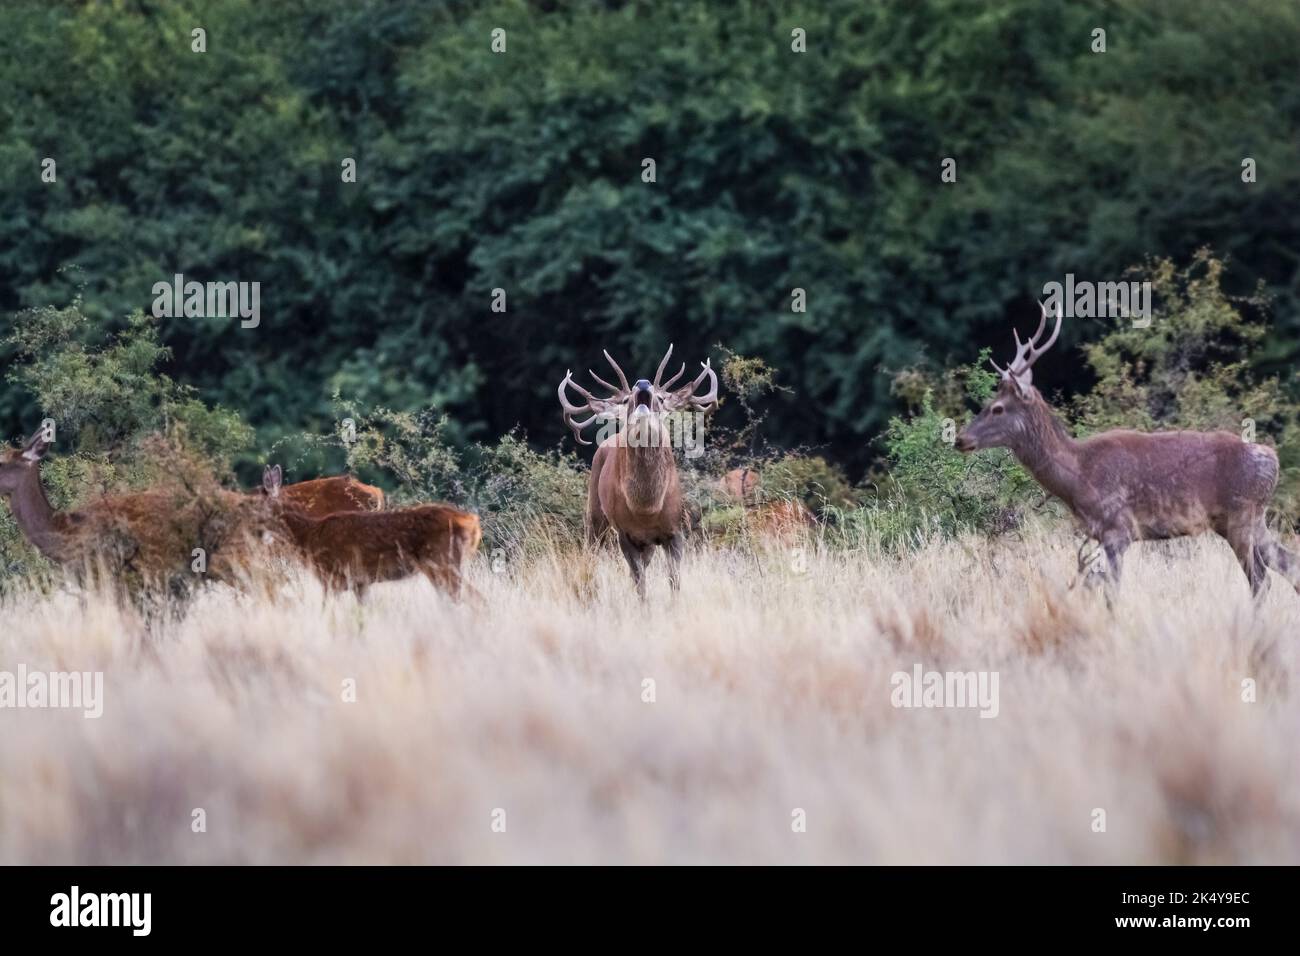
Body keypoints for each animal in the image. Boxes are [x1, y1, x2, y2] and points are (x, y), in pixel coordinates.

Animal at [559, 343, 722, 598]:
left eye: (661, 398)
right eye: (626, 400)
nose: (643, 383)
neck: (646, 509)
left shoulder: (675, 529)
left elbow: (674, 579)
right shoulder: (625, 533)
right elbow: (639, 582)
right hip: (594, 514)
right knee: (592, 554)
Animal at [956, 303, 1300, 595]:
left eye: (998, 408)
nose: (960, 438)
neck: (1078, 475)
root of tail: (1272, 459)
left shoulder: (1117, 529)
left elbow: (1112, 591)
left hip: (1240, 514)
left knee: (1261, 580)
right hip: (1254, 518)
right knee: (1290, 566)